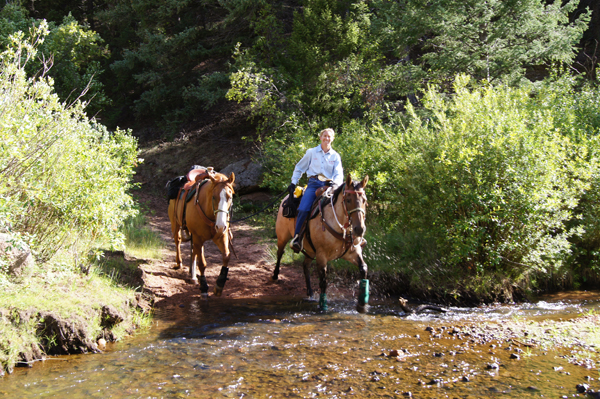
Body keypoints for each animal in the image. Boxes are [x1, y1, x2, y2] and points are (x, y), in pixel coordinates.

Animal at [169, 168, 237, 296]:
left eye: (230, 197)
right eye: (214, 197)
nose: (221, 225)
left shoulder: (221, 236)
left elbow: (226, 256)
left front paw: (219, 284)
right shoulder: (198, 237)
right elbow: (202, 264)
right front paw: (204, 288)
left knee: (194, 250)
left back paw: (193, 276)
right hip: (175, 223)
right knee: (178, 241)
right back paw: (179, 263)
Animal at [274, 174, 370, 312]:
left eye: (364, 200)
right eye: (348, 200)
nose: (359, 229)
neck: (340, 227)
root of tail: (286, 198)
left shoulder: (353, 252)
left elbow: (363, 269)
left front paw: (362, 304)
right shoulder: (321, 255)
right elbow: (323, 280)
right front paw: (323, 305)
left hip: (310, 250)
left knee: (305, 265)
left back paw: (310, 292)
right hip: (283, 237)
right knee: (280, 253)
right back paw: (275, 275)